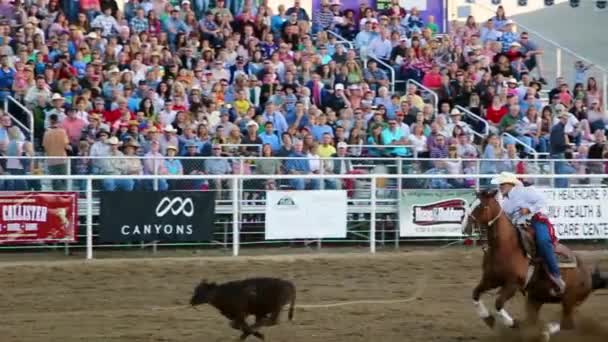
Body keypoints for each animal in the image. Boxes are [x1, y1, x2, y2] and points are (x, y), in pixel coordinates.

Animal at [464, 188, 604, 340]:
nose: (466, 228)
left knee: (566, 325)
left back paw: (546, 330)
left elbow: (498, 304)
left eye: (481, 206)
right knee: (538, 320)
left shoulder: (513, 284)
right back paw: (542, 331)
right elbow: (475, 294)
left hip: (569, 301)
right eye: (471, 204)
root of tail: (589, 276)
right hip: (536, 299)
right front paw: (487, 318)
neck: (505, 246)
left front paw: (513, 323)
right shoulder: (490, 280)